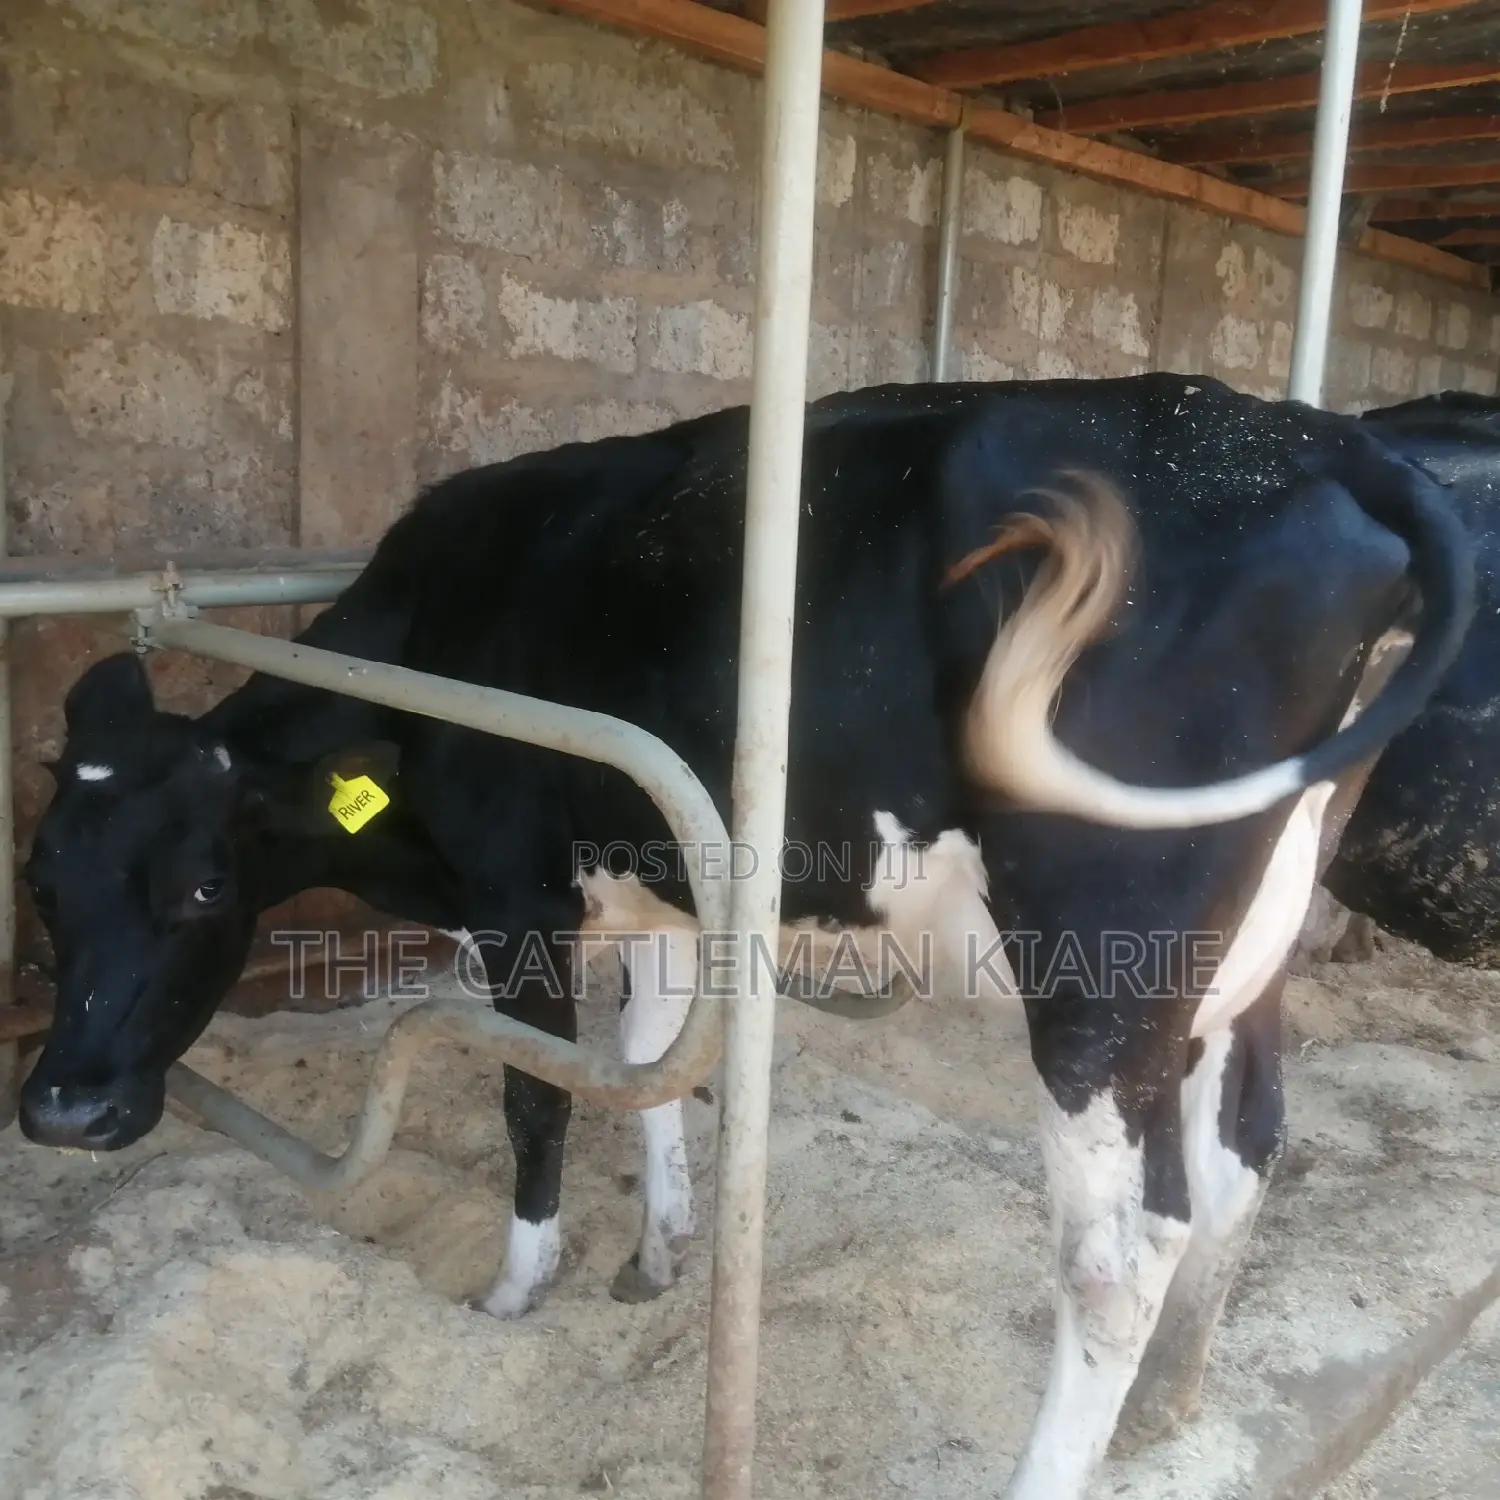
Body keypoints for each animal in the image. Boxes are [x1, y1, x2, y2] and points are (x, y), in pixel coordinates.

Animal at [14, 374, 1473, 1500]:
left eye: (203, 890)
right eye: (39, 886)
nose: (62, 1110)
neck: (426, 646)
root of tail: (1317, 439)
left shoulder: (517, 894)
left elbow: (539, 1092)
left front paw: (516, 1288)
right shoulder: (662, 866)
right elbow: (646, 1056)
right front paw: (659, 1241)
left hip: (1103, 967)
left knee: (1120, 1254)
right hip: (1244, 951)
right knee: (1245, 1156)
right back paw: (1170, 1405)